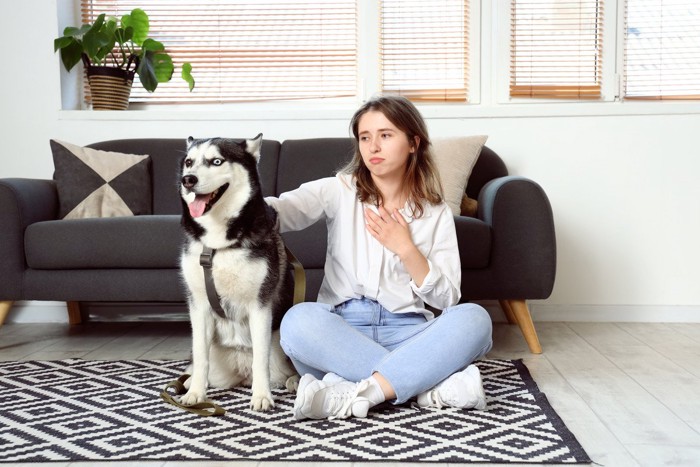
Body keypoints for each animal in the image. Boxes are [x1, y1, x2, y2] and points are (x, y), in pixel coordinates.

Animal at [178, 133, 298, 412]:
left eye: (216, 161)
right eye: (189, 162)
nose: (188, 180)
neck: (218, 244)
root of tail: (241, 374)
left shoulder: (260, 305)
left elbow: (261, 358)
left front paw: (262, 396)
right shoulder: (198, 305)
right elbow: (200, 354)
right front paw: (197, 393)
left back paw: (294, 382)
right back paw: (188, 382)